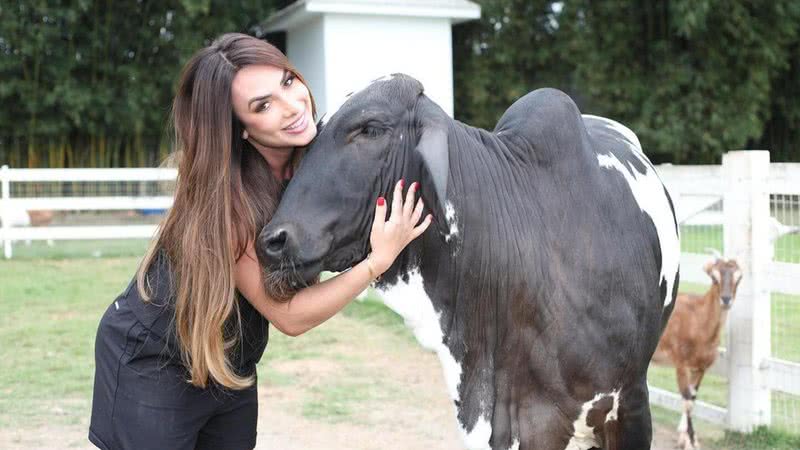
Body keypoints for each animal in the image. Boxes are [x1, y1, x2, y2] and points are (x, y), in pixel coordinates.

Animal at [652, 256, 740, 450]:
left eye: (738, 278)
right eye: (714, 278)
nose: (726, 299)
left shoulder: (700, 367)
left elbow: (693, 397)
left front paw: (684, 438)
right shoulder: (680, 362)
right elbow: (687, 401)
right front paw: (692, 441)